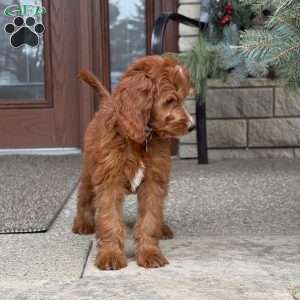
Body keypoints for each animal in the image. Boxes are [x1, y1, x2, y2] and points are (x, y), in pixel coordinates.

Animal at [72, 55, 195, 270]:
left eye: (183, 98)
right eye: (170, 100)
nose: (192, 126)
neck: (139, 138)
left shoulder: (154, 181)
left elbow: (150, 219)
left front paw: (150, 253)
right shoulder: (109, 180)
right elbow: (110, 219)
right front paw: (111, 255)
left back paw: (163, 228)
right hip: (89, 169)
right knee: (84, 195)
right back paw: (82, 223)